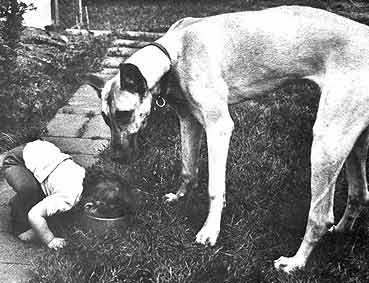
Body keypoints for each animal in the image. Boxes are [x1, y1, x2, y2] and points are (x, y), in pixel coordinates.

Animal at [85, 6, 368, 272]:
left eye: (124, 114)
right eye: (105, 118)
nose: (116, 157)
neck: (175, 54)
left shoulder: (218, 127)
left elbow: (214, 188)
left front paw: (210, 231)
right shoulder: (188, 121)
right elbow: (188, 169)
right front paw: (180, 197)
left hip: (327, 142)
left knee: (320, 216)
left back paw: (295, 262)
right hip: (353, 143)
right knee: (359, 194)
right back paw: (340, 230)